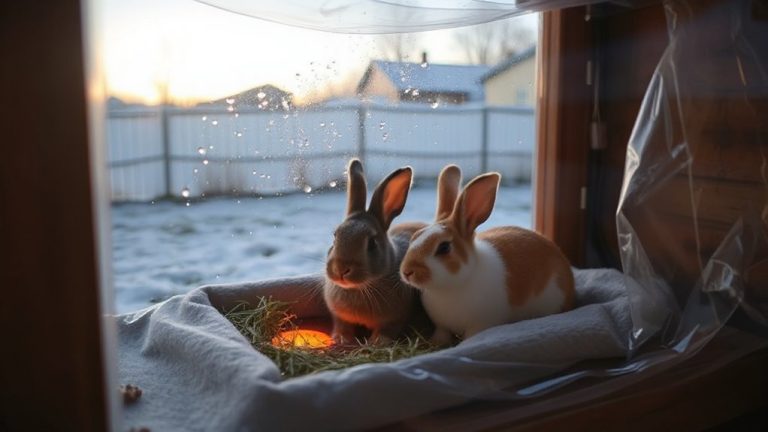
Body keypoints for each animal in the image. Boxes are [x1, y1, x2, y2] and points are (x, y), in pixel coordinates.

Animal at [324, 159, 428, 345]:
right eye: (335, 237)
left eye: (372, 243)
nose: (340, 270)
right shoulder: (339, 316)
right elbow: (342, 324)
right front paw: (341, 338)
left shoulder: (395, 318)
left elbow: (387, 329)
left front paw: (378, 342)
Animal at [400, 165, 575, 345]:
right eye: (415, 236)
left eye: (444, 247)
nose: (407, 271)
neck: (451, 286)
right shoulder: (442, 326)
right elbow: (442, 333)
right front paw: (437, 342)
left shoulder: (478, 324)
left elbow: (471, 336)